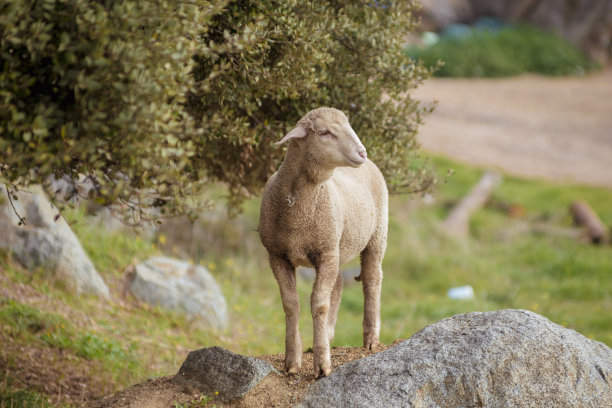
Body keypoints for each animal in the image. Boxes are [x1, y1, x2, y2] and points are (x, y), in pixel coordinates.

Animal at [258, 107, 388, 378]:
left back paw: (370, 338)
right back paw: (328, 335)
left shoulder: (326, 253)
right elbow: (291, 304)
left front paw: (322, 364)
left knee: (372, 280)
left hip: (376, 234)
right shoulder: (277, 256)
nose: (362, 152)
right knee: (337, 285)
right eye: (325, 132)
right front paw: (292, 361)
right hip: (336, 246)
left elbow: (318, 304)